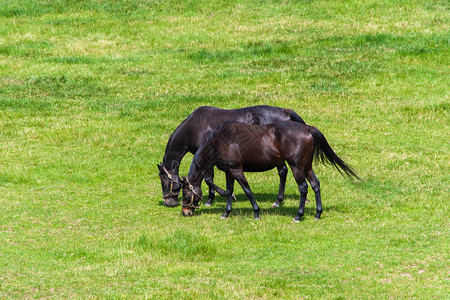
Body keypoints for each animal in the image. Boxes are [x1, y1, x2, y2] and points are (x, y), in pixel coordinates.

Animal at [156, 105, 304, 206]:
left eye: (164, 180)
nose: (168, 202)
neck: (195, 128)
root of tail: (284, 111)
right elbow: (210, 179)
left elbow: (208, 179)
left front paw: (220, 197)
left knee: (282, 172)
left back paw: (278, 201)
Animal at [180, 120, 358, 221]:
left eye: (186, 194)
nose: (185, 212)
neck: (222, 140)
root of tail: (307, 128)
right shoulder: (229, 171)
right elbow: (230, 191)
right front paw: (226, 213)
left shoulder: (237, 170)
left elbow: (247, 190)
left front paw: (256, 213)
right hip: (307, 166)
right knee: (315, 185)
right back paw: (317, 214)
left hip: (297, 167)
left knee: (303, 188)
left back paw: (298, 215)